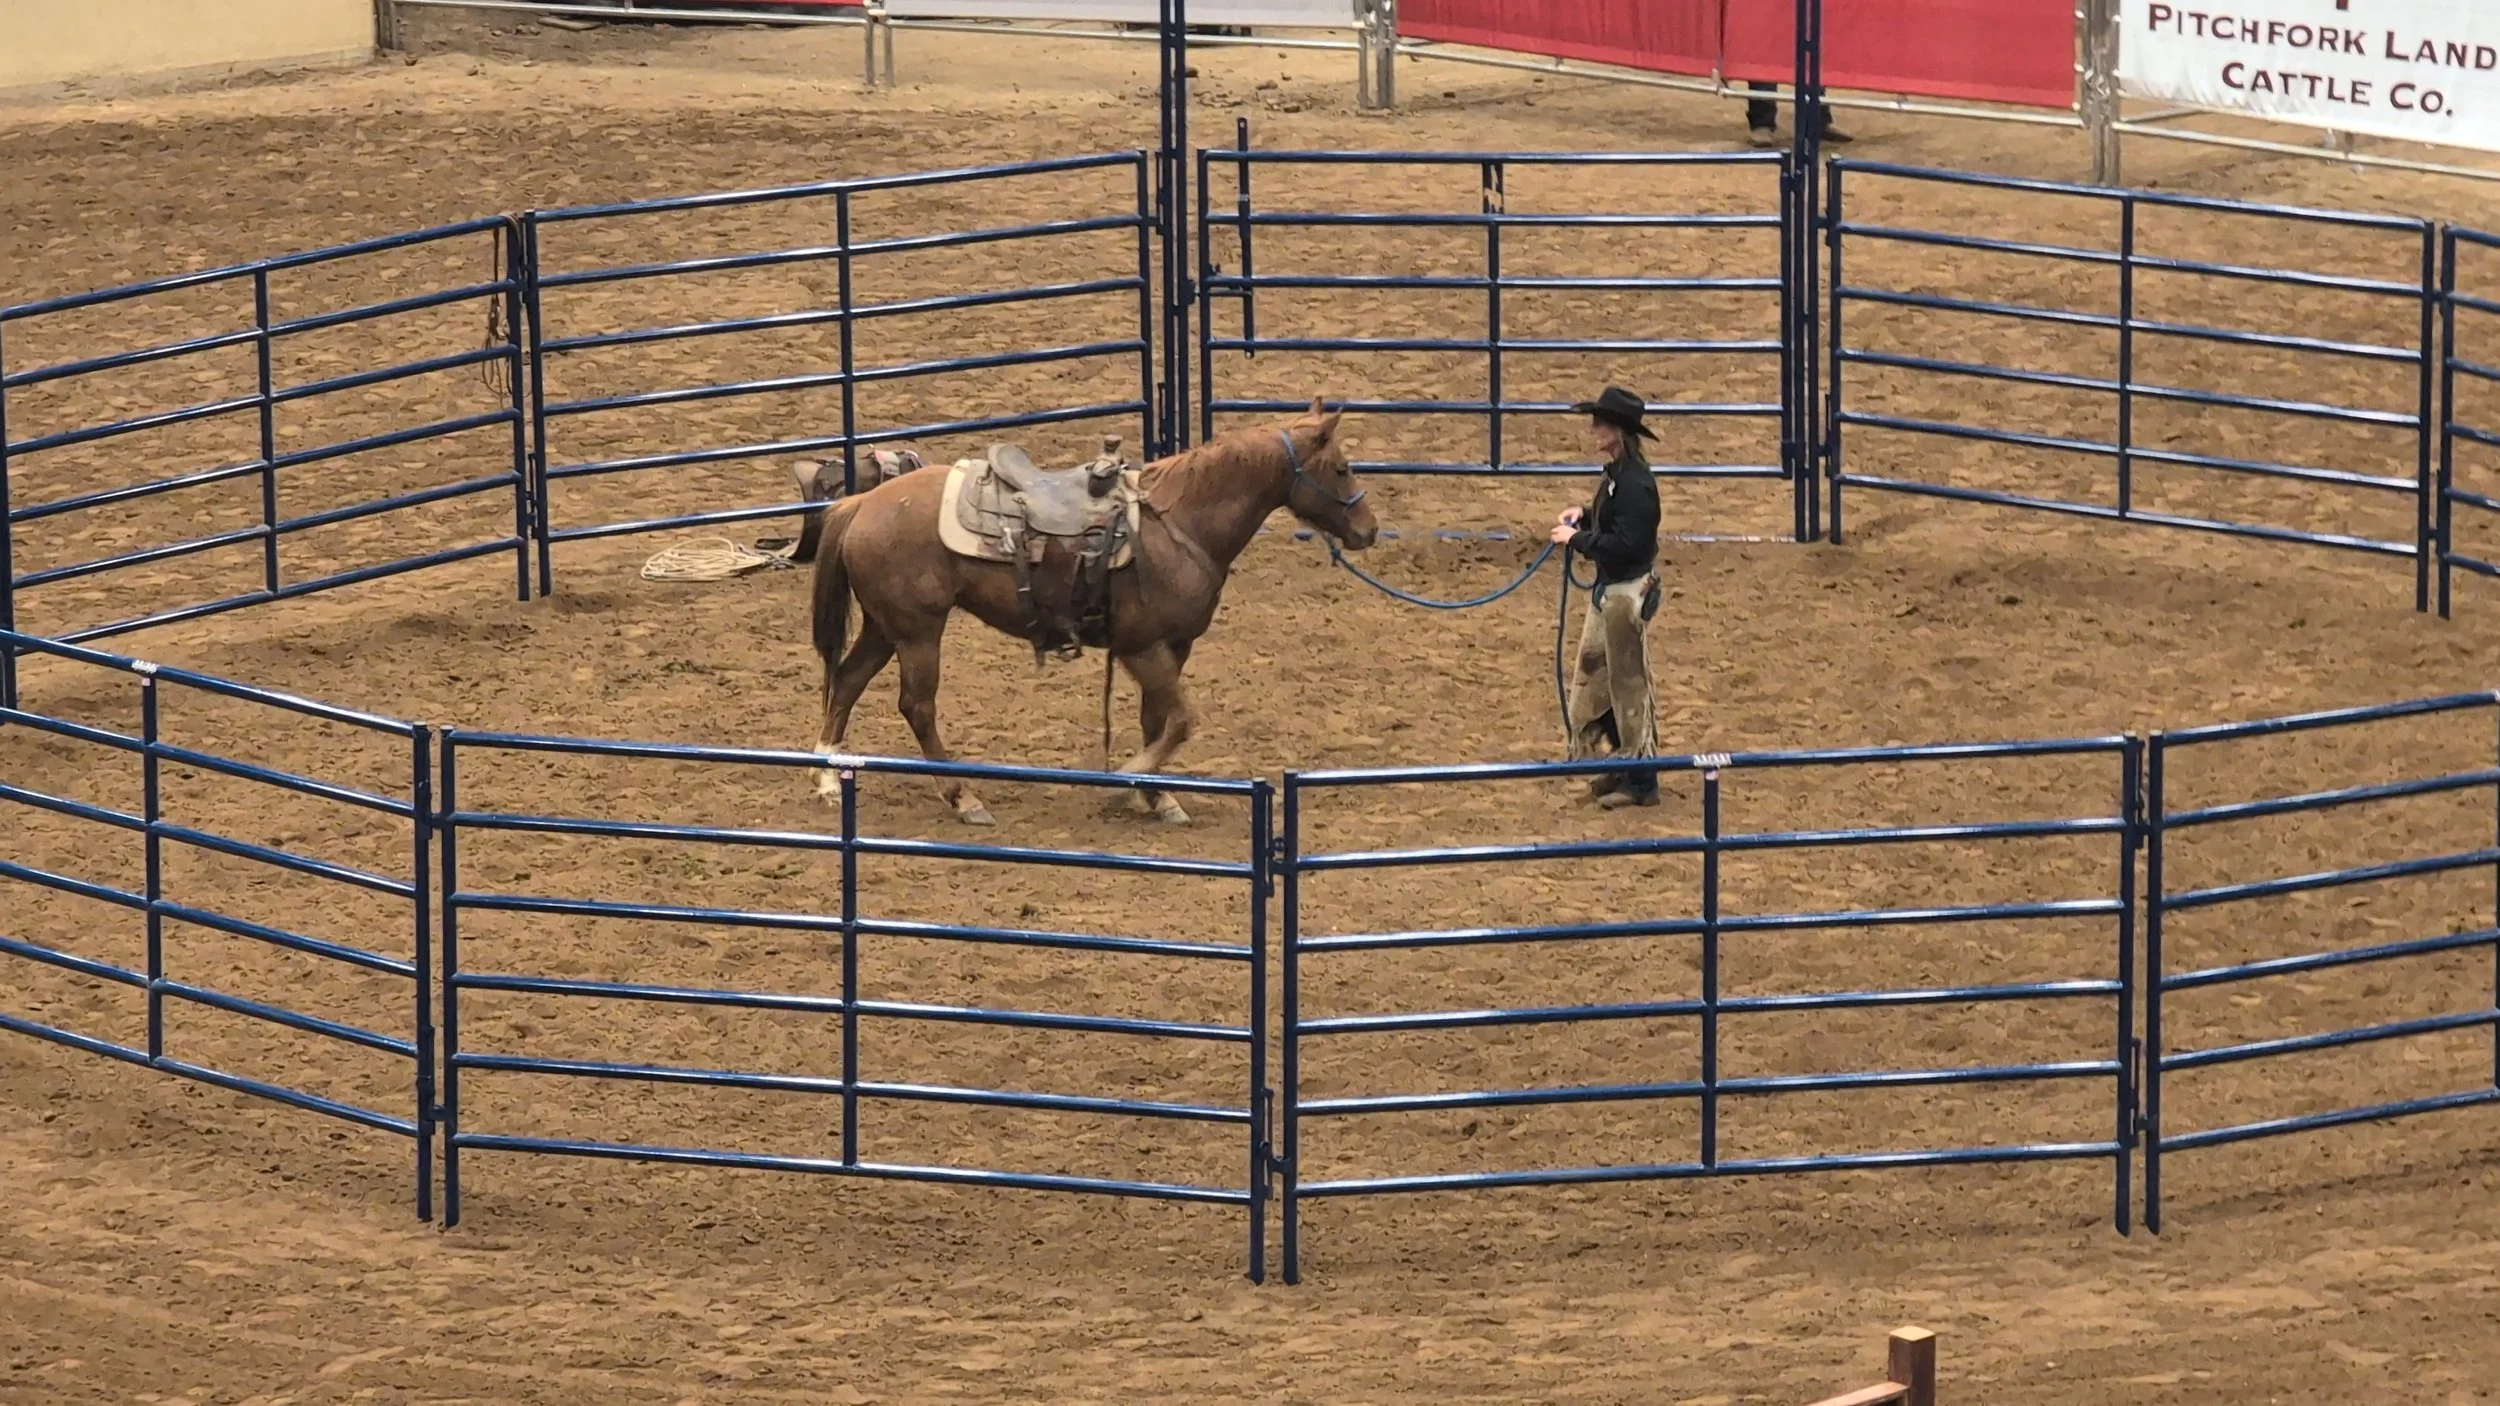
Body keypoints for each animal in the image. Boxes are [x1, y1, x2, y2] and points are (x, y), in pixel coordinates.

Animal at [806, 398, 1377, 825]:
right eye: (1342, 468)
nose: (1368, 530)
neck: (1180, 523)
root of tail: (859, 504)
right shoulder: (1141, 647)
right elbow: (1181, 720)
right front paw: (1126, 781)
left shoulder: (1172, 646)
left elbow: (1157, 718)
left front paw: (1157, 796)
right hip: (919, 632)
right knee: (917, 706)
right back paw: (963, 797)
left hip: (887, 627)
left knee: (849, 680)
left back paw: (828, 776)